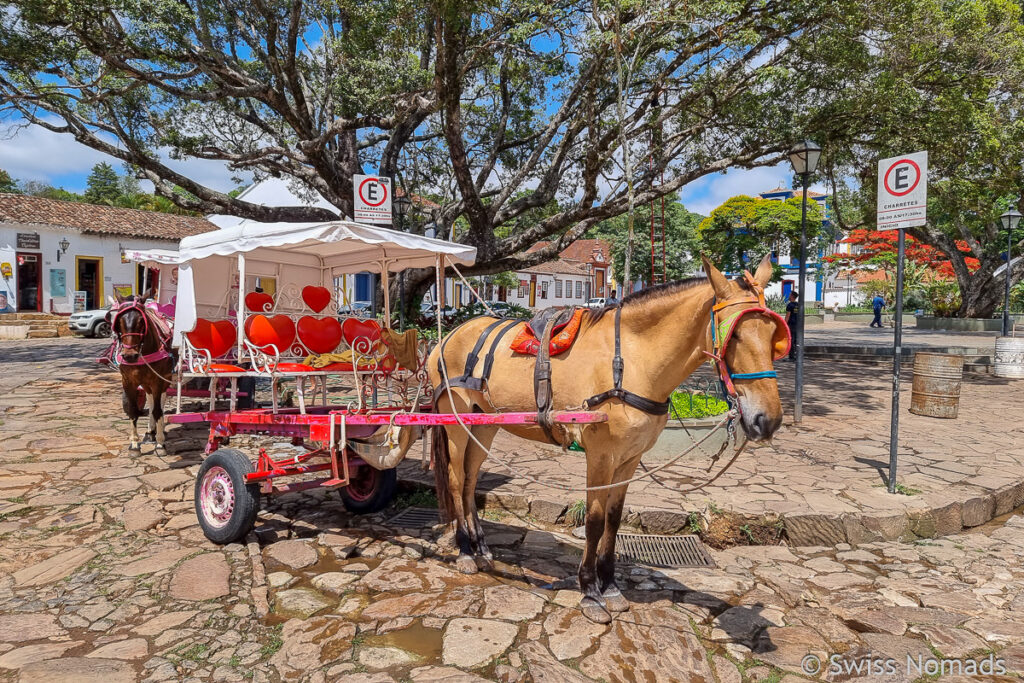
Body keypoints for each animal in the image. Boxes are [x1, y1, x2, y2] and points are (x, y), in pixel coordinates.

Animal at [114, 290, 176, 456]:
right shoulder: (128, 382)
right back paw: (150, 431)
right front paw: (135, 445)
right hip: (147, 383)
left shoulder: (158, 381)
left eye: (142, 320)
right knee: (150, 399)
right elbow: (133, 410)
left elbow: (157, 410)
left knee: (160, 402)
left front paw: (160, 444)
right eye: (119, 320)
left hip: (163, 379)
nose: (129, 355)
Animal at [428, 255, 786, 626]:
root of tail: (448, 336)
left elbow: (614, 519)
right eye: (736, 334)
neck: (632, 359)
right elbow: (595, 521)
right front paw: (589, 590)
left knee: (470, 480)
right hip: (454, 421)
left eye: (775, 334)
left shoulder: (629, 457)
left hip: (484, 423)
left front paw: (610, 586)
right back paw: (465, 550)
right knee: (455, 479)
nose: (768, 420)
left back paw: (480, 546)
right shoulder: (600, 456)